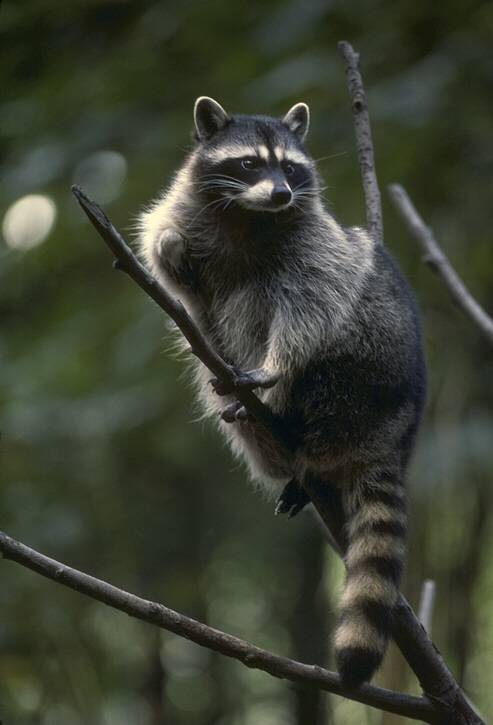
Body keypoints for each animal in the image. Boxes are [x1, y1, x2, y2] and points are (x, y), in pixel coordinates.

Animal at [138, 97, 426, 686]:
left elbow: (309, 308)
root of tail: (393, 435)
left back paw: (285, 414)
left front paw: (274, 370)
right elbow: (169, 260)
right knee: (218, 366)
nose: (281, 194)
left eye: (291, 169)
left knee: (304, 323)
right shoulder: (190, 218)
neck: (249, 216)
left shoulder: (316, 251)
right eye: (249, 164)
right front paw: (169, 249)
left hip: (363, 375)